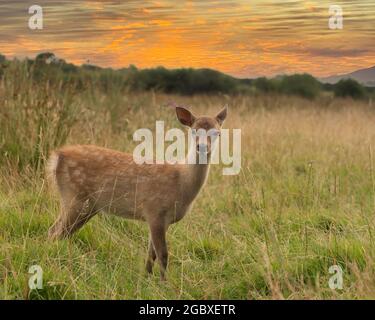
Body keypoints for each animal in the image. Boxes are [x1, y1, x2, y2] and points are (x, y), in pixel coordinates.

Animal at [47, 105, 229, 280]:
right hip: (73, 196)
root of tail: (57, 157)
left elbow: (151, 254)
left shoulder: (163, 220)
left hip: (88, 206)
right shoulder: (154, 210)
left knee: (61, 232)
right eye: (193, 130)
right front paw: (164, 283)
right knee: (55, 231)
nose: (202, 147)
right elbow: (163, 254)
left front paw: (147, 277)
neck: (181, 183)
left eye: (218, 133)